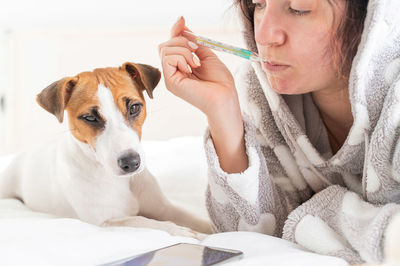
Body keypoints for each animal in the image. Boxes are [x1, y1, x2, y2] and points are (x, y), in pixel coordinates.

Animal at [0, 62, 212, 239]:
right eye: (89, 118)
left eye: (134, 107)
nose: (131, 163)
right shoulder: (107, 222)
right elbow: (144, 220)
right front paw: (178, 230)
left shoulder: (163, 208)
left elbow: (194, 218)